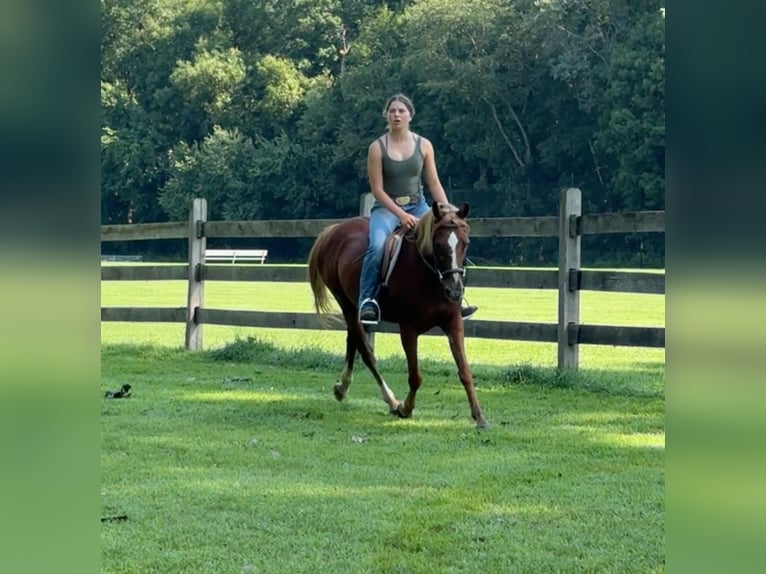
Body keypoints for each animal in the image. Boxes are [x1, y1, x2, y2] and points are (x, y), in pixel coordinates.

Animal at [308, 200, 492, 430]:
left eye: (465, 243)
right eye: (438, 244)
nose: (455, 291)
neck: (429, 277)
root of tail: (333, 231)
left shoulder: (453, 322)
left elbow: (465, 371)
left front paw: (479, 417)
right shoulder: (408, 328)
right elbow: (415, 376)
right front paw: (406, 408)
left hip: (353, 307)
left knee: (353, 341)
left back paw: (342, 388)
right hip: (346, 304)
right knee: (366, 351)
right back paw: (391, 400)